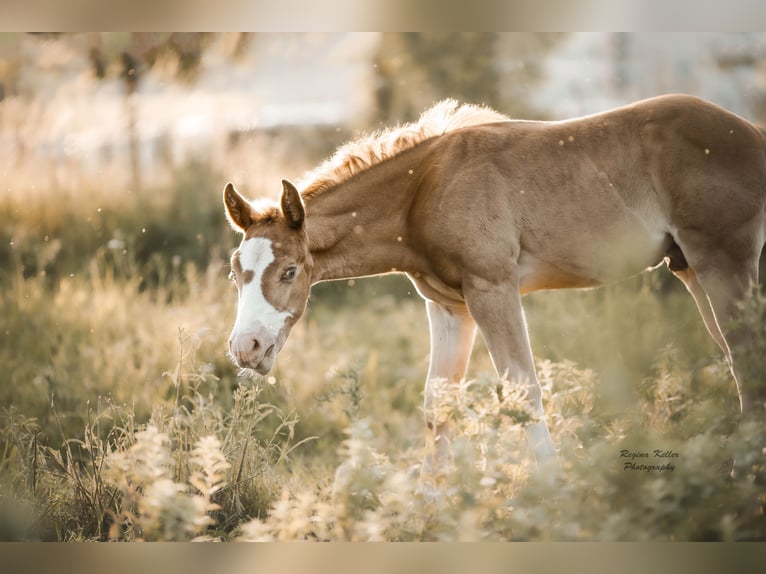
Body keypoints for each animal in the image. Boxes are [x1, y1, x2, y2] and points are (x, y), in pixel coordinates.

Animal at [224, 94, 766, 472]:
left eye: (290, 271)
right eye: (235, 271)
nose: (246, 348)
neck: (423, 189)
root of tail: (753, 134)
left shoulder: (493, 290)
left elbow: (523, 391)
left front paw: (552, 492)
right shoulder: (449, 306)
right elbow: (437, 403)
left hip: (723, 262)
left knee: (746, 363)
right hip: (690, 268)